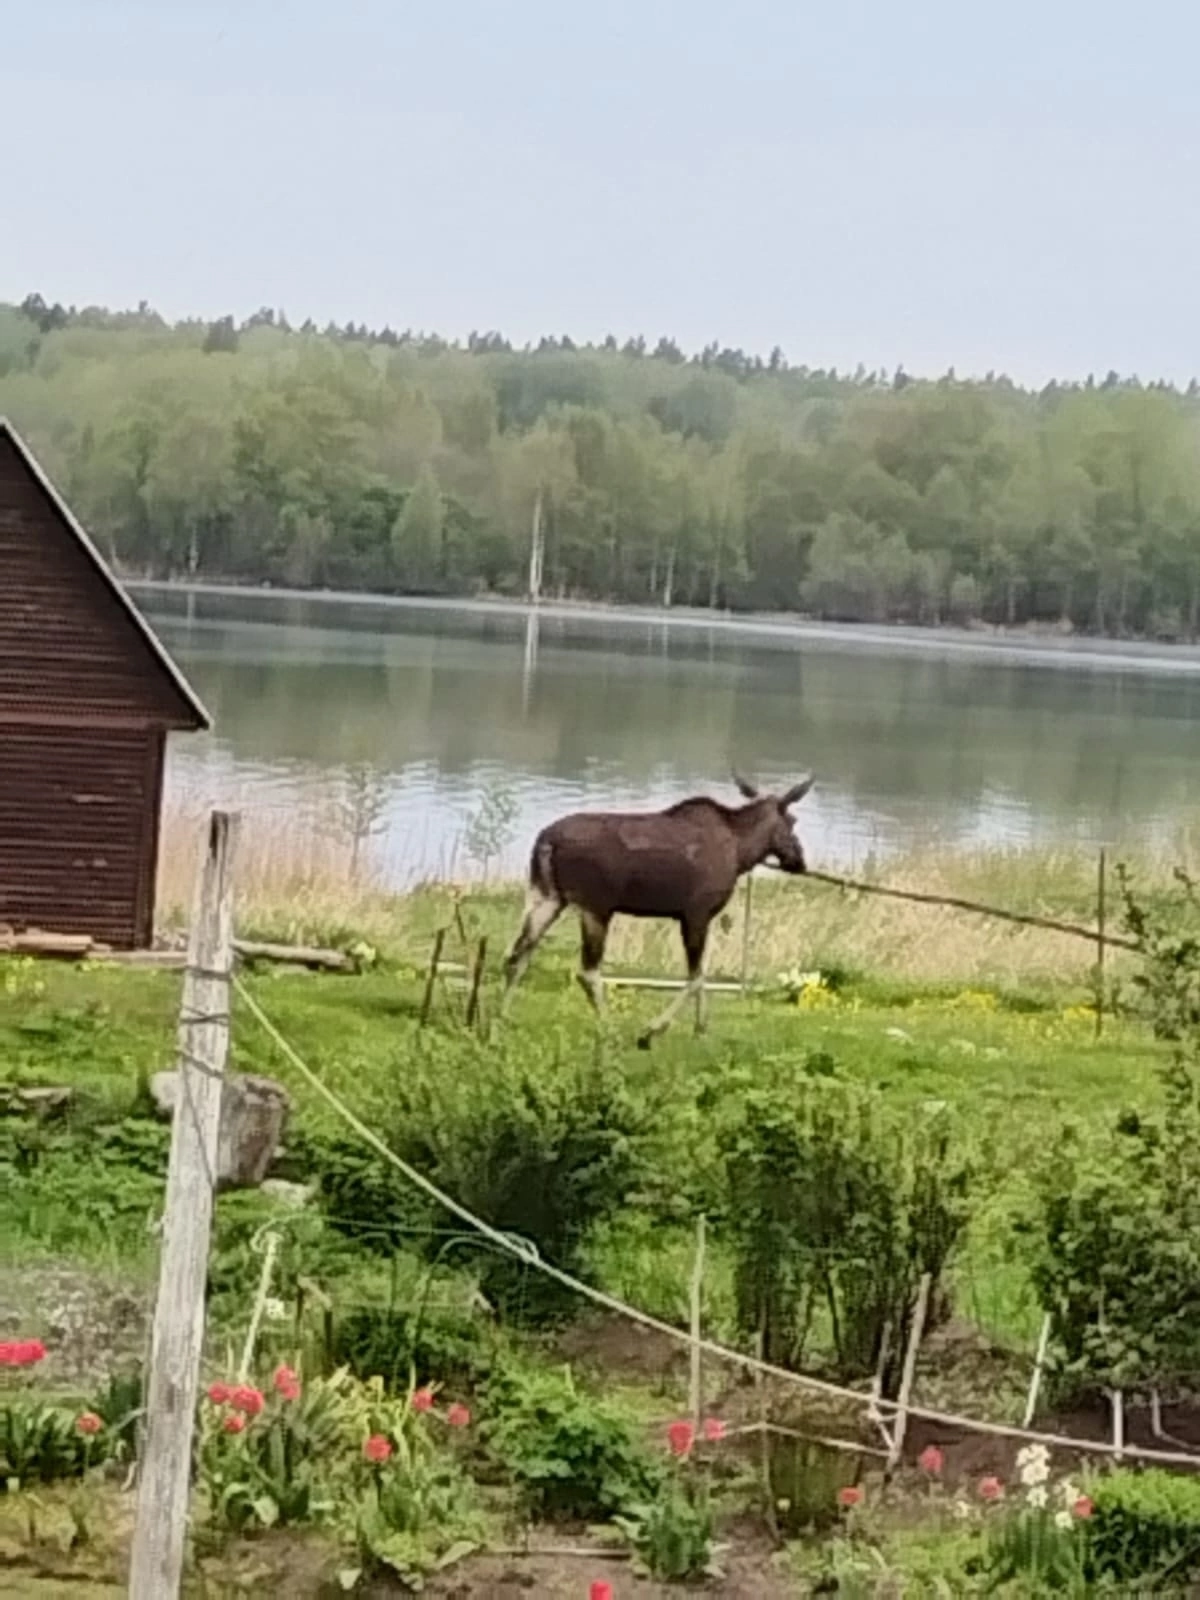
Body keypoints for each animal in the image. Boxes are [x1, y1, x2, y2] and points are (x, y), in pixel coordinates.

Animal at [501, 772, 815, 1047]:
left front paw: (701, 1028)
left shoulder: (698, 917)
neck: (742, 852)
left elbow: (702, 974)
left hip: (548, 897)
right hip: (595, 907)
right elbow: (694, 978)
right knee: (586, 971)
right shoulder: (695, 913)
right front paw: (652, 1031)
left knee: (517, 956)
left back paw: (498, 1017)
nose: (799, 860)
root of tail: (545, 842)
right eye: (793, 821)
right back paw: (609, 1030)